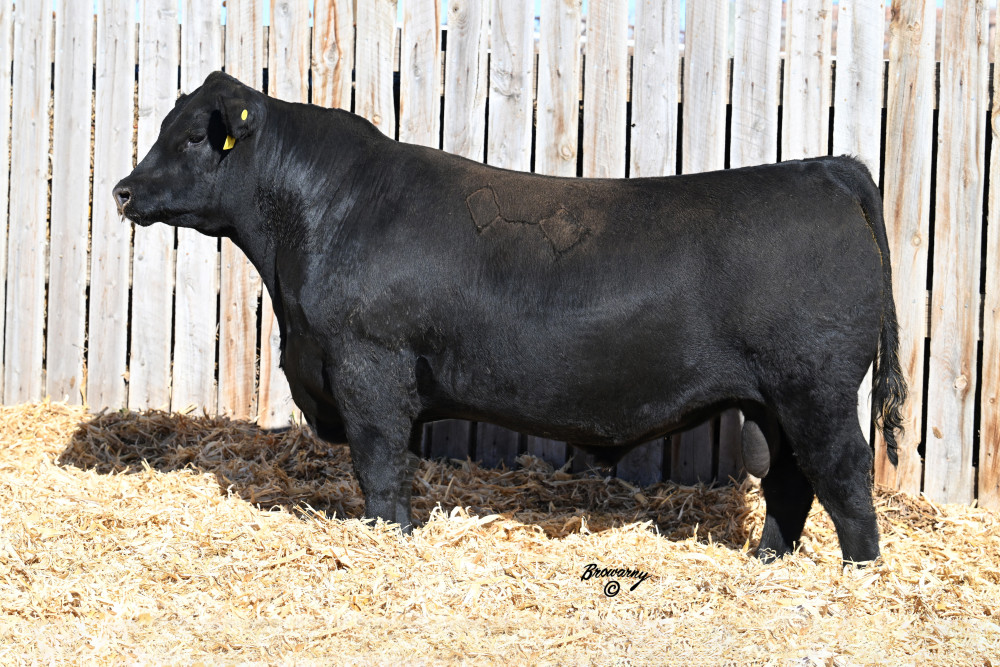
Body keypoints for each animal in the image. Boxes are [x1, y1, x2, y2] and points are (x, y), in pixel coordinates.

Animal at [114, 71, 907, 565]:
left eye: (194, 136)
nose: (122, 190)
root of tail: (823, 167)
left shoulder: (368, 368)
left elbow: (381, 469)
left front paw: (389, 540)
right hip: (772, 399)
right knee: (790, 481)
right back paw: (768, 561)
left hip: (815, 386)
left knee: (843, 472)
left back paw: (857, 574)